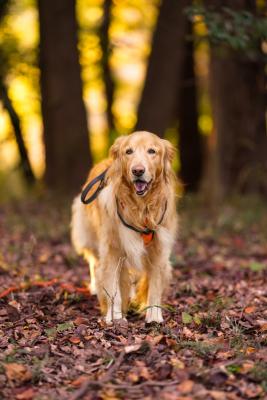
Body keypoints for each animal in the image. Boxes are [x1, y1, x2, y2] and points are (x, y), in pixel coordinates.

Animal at [70, 130, 178, 324]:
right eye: (129, 151)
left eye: (152, 151)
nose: (138, 171)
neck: (141, 208)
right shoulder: (112, 249)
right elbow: (113, 287)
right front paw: (115, 316)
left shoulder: (159, 248)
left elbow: (155, 285)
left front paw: (154, 314)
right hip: (89, 235)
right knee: (94, 263)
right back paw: (95, 286)